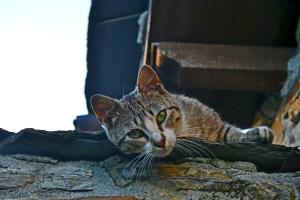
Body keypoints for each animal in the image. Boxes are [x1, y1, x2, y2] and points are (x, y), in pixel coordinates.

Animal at [89, 65, 274, 158]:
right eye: (134, 134)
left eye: (161, 116)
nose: (160, 142)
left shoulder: (214, 122)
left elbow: (229, 132)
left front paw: (253, 133)